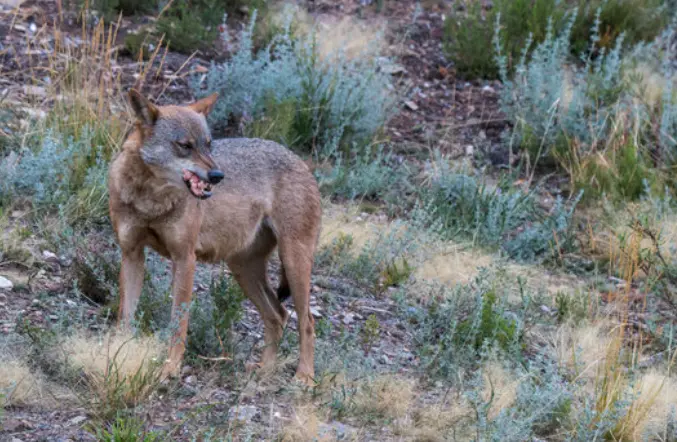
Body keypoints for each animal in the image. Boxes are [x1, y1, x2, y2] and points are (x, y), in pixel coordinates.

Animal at [108, 89, 322, 383]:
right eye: (185, 145)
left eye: (209, 145)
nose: (218, 175)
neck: (150, 200)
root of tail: (301, 162)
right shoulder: (131, 254)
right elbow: (126, 316)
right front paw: (120, 353)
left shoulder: (185, 259)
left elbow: (179, 324)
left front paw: (170, 368)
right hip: (243, 270)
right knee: (278, 316)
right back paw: (264, 370)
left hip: (292, 262)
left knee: (306, 321)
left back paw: (305, 377)